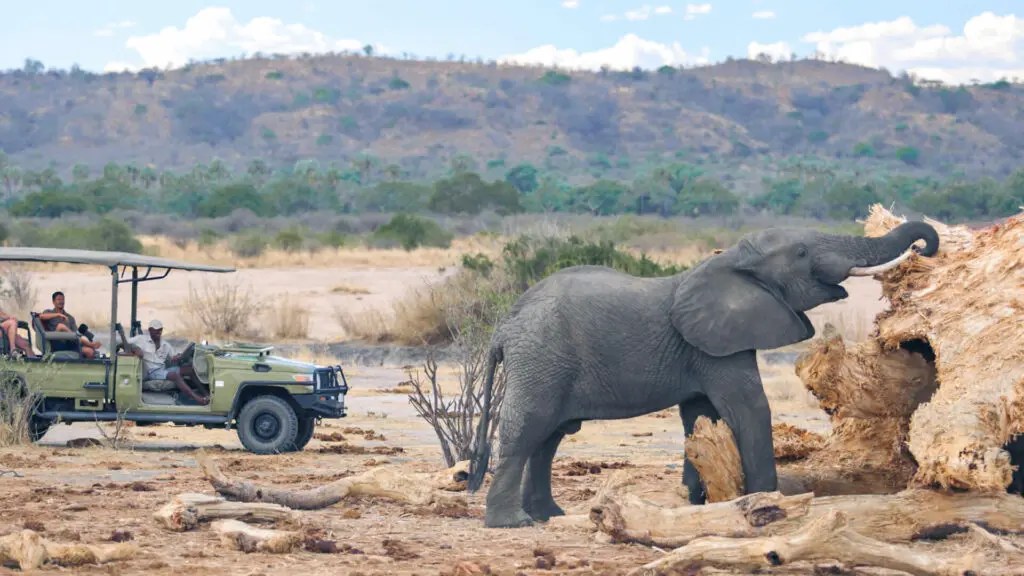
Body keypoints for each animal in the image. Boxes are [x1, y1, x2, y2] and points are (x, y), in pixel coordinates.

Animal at [466, 220, 940, 528]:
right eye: (802, 253)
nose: (924, 247)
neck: (731, 259)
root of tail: (503, 327)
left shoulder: (703, 348)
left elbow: (698, 417)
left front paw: (698, 505)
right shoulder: (715, 346)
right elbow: (748, 408)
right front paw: (768, 506)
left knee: (548, 438)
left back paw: (550, 516)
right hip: (541, 358)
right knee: (528, 428)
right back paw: (513, 524)